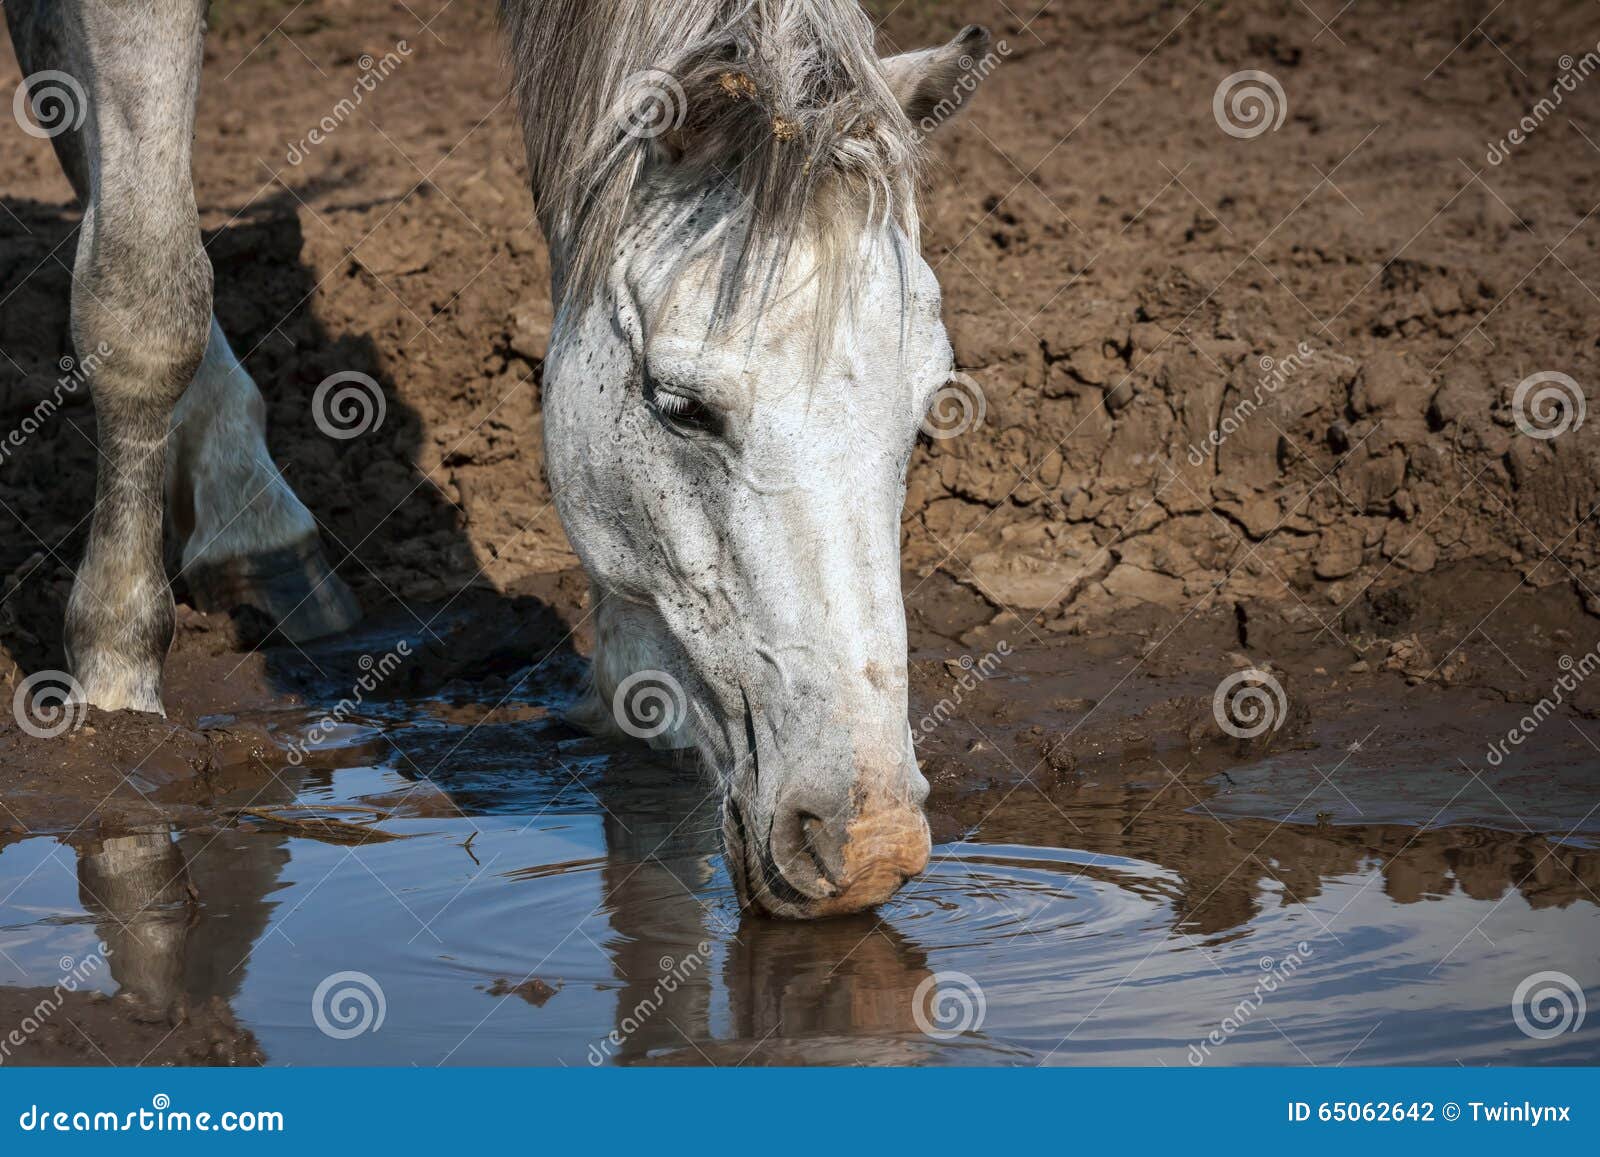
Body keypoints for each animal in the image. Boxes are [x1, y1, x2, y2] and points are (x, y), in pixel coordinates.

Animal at [6, 2, 985, 921]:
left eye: (924, 409)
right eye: (680, 405)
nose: (870, 846)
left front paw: (633, 682)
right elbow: (144, 297)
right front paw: (116, 671)